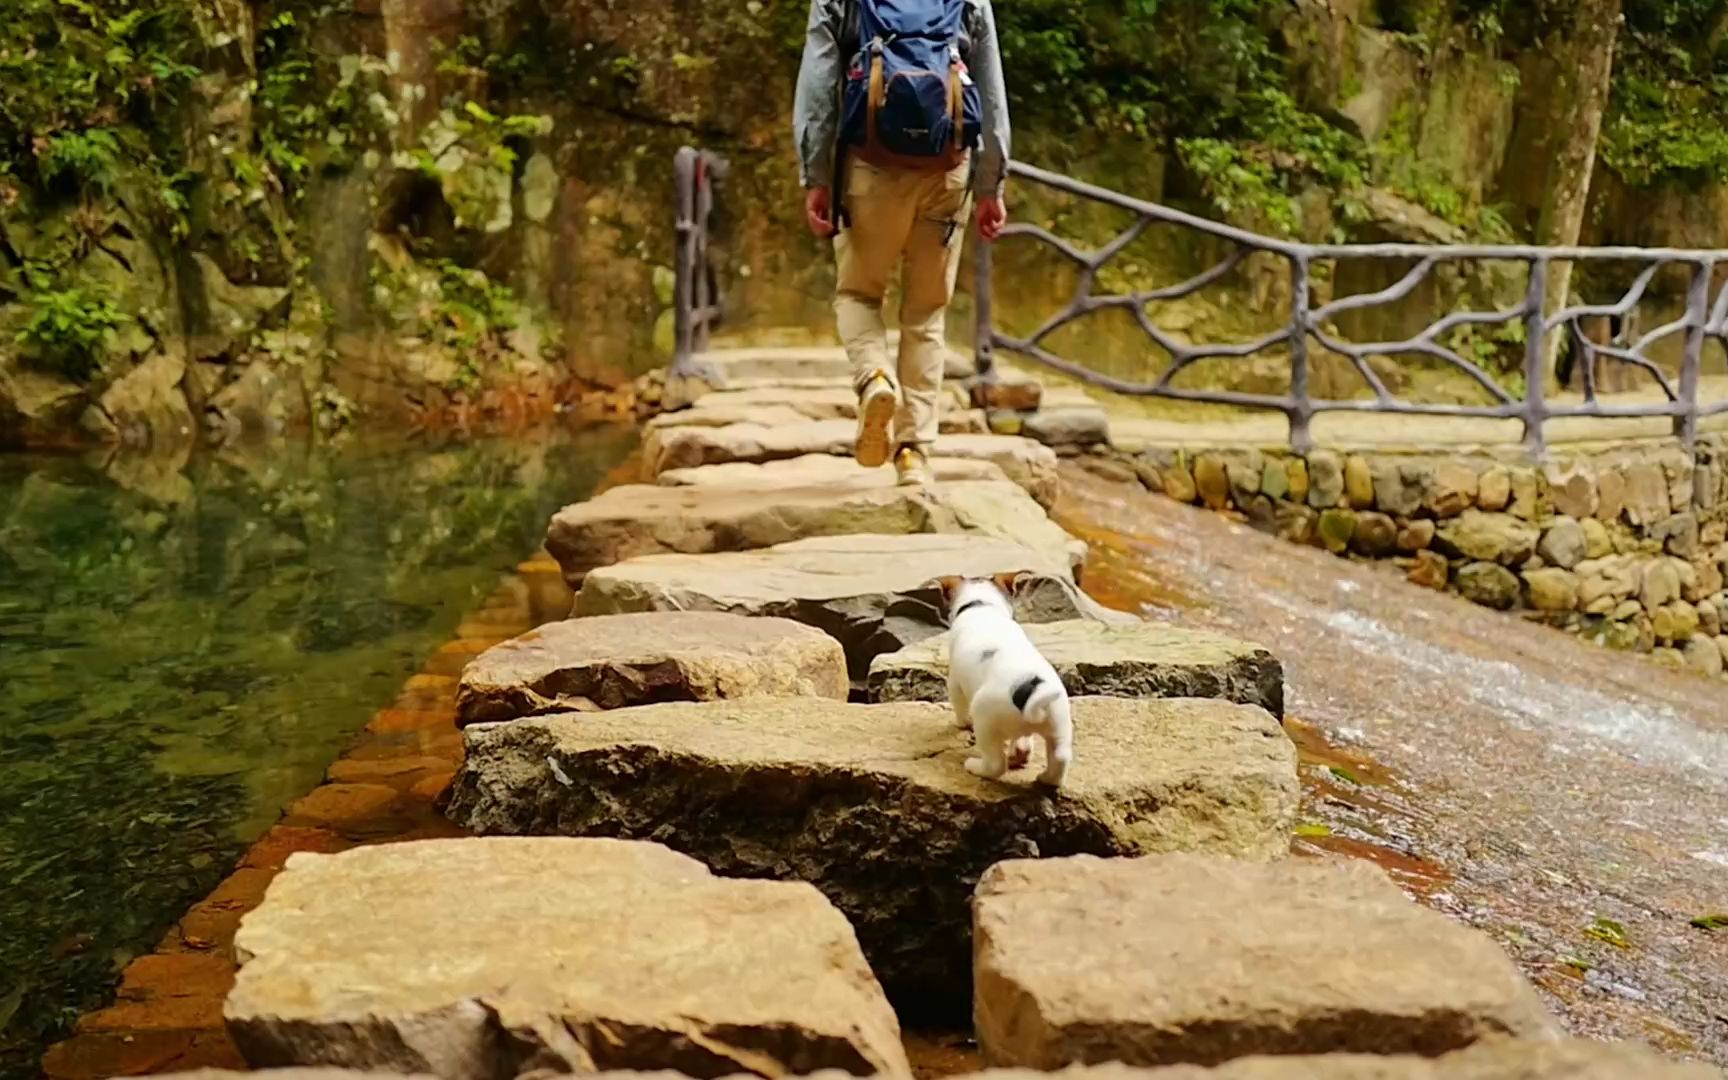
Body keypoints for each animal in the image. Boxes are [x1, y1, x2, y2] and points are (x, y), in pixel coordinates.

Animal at [940, 570, 1071, 787]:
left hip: (985, 722)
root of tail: (1030, 690)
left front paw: (962, 723)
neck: (982, 604)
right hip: (1059, 725)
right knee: (1059, 759)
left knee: (995, 765)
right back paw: (1043, 777)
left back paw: (974, 766)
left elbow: (959, 707)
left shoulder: (954, 683)